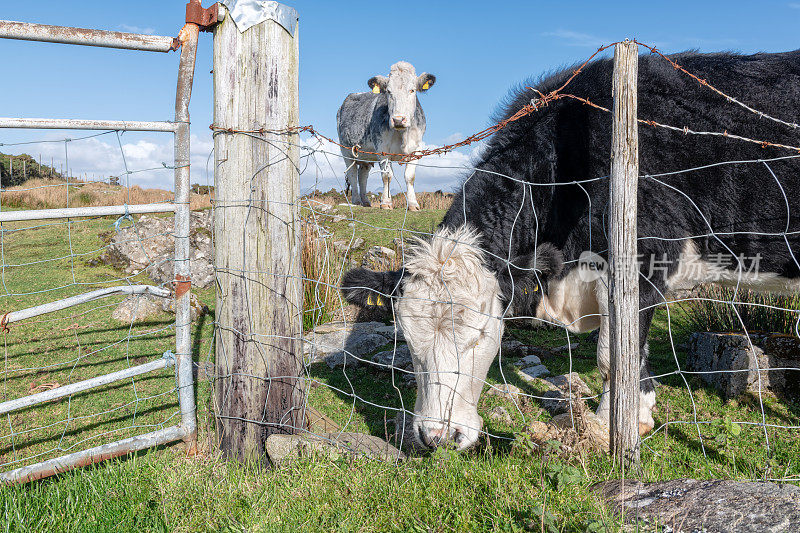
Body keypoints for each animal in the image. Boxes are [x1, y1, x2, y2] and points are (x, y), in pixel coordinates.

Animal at [338, 61, 438, 210]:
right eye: (389, 92)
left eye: (412, 90)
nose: (398, 119)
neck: (402, 134)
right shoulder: (382, 149)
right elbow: (387, 176)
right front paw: (386, 202)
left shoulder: (416, 149)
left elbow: (410, 176)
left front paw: (413, 204)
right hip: (346, 151)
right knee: (352, 174)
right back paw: (356, 200)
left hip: (365, 156)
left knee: (363, 175)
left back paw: (365, 201)